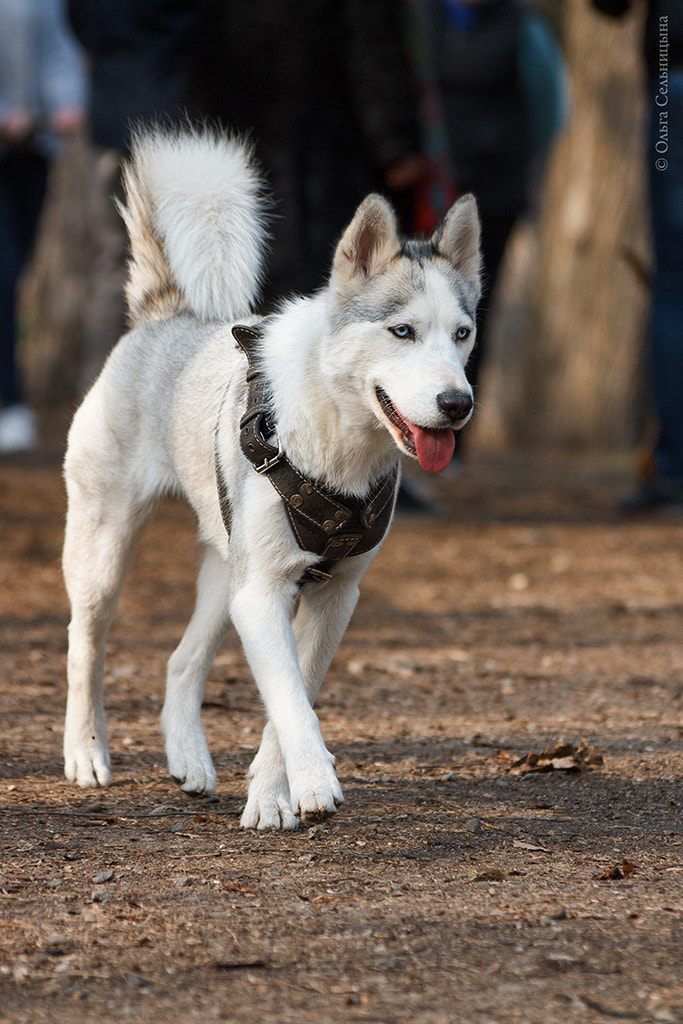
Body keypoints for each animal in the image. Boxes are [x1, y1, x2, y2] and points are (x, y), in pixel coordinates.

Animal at [62, 130, 481, 831]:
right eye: (402, 331)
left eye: (463, 334)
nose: (458, 403)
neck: (337, 443)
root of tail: (160, 315)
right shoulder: (263, 595)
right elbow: (290, 702)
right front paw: (310, 785)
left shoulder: (331, 595)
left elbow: (294, 696)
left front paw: (268, 792)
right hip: (105, 552)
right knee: (84, 646)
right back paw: (86, 753)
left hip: (223, 573)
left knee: (180, 662)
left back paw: (190, 760)